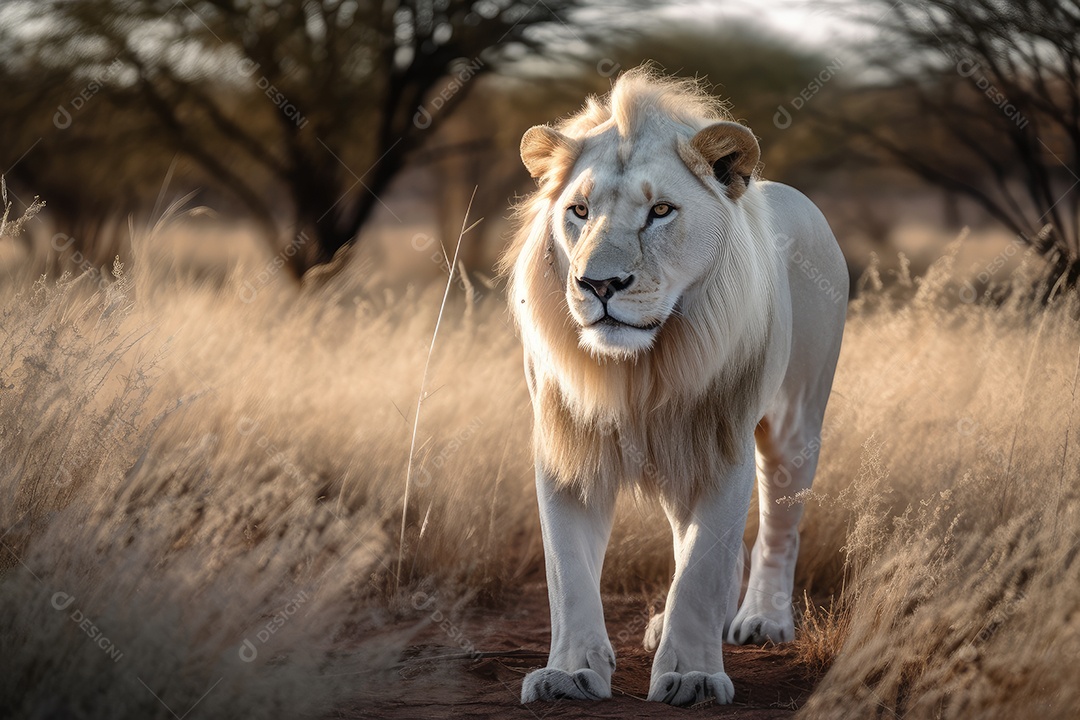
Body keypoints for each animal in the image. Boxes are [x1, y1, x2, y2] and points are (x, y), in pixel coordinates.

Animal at [501, 67, 846, 703]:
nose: (599, 284)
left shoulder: (722, 440)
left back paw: (763, 619)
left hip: (795, 418)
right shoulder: (568, 441)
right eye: (579, 210)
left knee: (778, 524)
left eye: (661, 210)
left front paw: (691, 676)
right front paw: (569, 673)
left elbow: (702, 566)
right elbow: (568, 572)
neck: (639, 369)